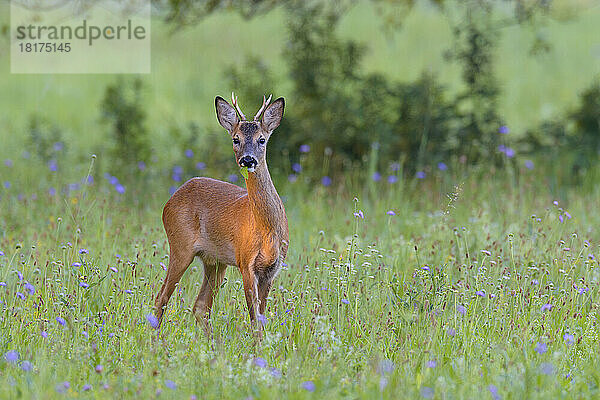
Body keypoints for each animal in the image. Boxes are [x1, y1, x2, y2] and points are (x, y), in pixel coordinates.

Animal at [154, 93, 288, 334]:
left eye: (262, 139)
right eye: (236, 139)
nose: (247, 159)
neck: (268, 230)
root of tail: (170, 200)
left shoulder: (272, 268)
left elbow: (261, 318)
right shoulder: (246, 262)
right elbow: (255, 319)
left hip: (214, 261)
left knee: (200, 306)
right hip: (180, 246)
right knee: (162, 297)